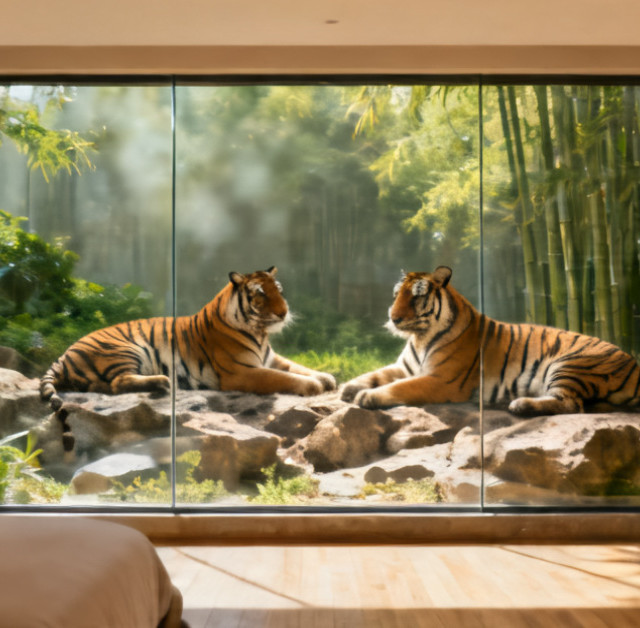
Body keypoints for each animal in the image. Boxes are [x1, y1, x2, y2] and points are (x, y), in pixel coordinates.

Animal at [41, 266, 336, 411]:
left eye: (279, 291)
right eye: (261, 293)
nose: (284, 312)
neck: (260, 333)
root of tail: (62, 355)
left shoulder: (270, 359)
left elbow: (298, 367)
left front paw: (327, 377)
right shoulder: (242, 372)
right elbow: (285, 378)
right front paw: (313, 386)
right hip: (124, 348)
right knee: (117, 383)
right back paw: (162, 382)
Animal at [341, 265, 640, 416]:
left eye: (416, 296)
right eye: (396, 295)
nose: (393, 318)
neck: (420, 337)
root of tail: (634, 362)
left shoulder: (441, 379)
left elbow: (400, 387)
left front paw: (368, 396)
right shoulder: (404, 367)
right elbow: (374, 374)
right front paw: (349, 387)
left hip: (570, 363)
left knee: (572, 404)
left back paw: (520, 405)